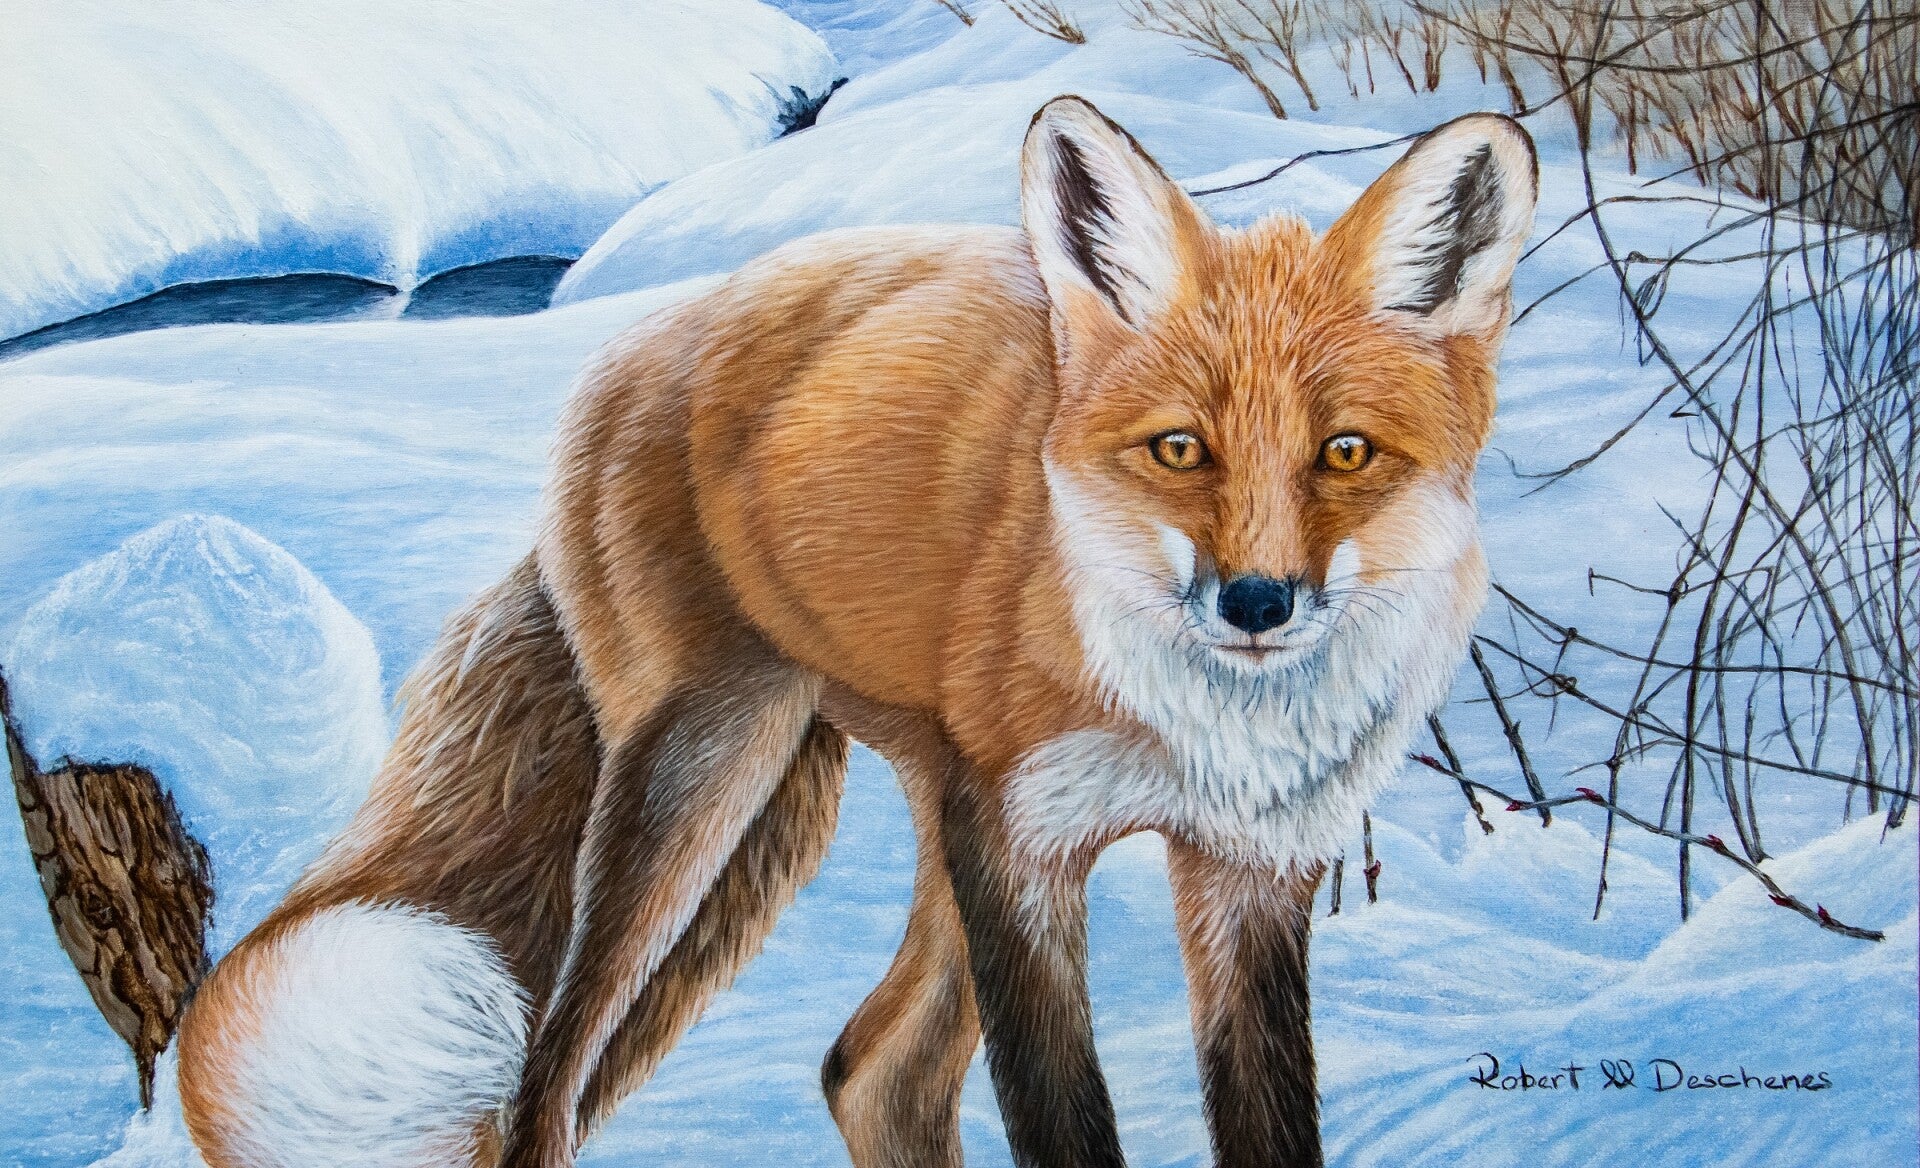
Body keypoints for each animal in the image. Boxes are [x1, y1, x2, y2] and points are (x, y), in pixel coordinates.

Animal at [175, 96, 1536, 1168]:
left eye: (1344, 453)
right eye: (1179, 450)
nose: (1257, 600)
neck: (1201, 727)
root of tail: (641, 344)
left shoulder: (1248, 875)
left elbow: (1271, 1128)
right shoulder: (1025, 858)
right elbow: (1065, 1127)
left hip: (890, 814)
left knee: (868, 1071)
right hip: (714, 784)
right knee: (548, 1082)